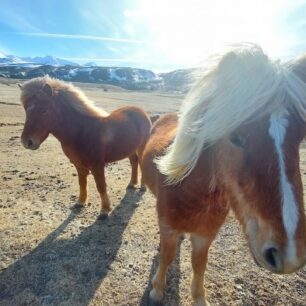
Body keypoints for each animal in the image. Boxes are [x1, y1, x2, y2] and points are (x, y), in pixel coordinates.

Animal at [19, 77, 151, 219]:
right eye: (26, 110)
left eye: (44, 111)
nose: (27, 142)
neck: (81, 131)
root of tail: (141, 111)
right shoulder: (79, 165)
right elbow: (82, 183)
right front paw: (80, 202)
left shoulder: (97, 165)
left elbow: (101, 186)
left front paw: (105, 210)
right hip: (130, 148)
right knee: (134, 162)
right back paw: (132, 183)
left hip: (142, 147)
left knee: (141, 162)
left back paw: (143, 186)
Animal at [141, 43, 306, 306]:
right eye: (236, 136)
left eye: (300, 137)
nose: (290, 255)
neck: (192, 192)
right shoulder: (167, 227)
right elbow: (167, 256)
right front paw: (157, 290)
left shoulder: (206, 234)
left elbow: (199, 264)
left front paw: (199, 297)